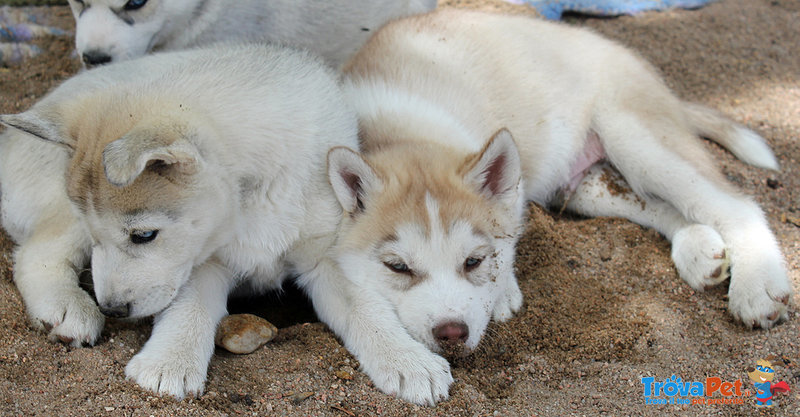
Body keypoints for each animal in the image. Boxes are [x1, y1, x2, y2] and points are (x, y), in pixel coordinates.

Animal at [0, 44, 360, 398]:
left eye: (144, 235)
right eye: (96, 236)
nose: (112, 310)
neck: (254, 197)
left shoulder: (324, 255)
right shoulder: (202, 262)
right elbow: (190, 308)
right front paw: (170, 363)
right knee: (33, 255)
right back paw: (67, 308)